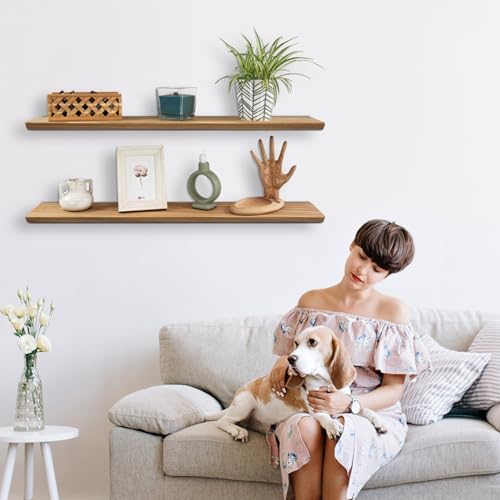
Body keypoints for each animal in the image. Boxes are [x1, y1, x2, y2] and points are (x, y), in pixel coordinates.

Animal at [206, 324, 386, 442]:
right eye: (296, 343)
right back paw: (237, 431)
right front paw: (332, 426)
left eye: (312, 342)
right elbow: (324, 417)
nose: (290, 359)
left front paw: (379, 422)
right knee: (222, 421)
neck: (326, 383)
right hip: (244, 405)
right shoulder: (316, 409)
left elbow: (365, 409)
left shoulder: (344, 405)